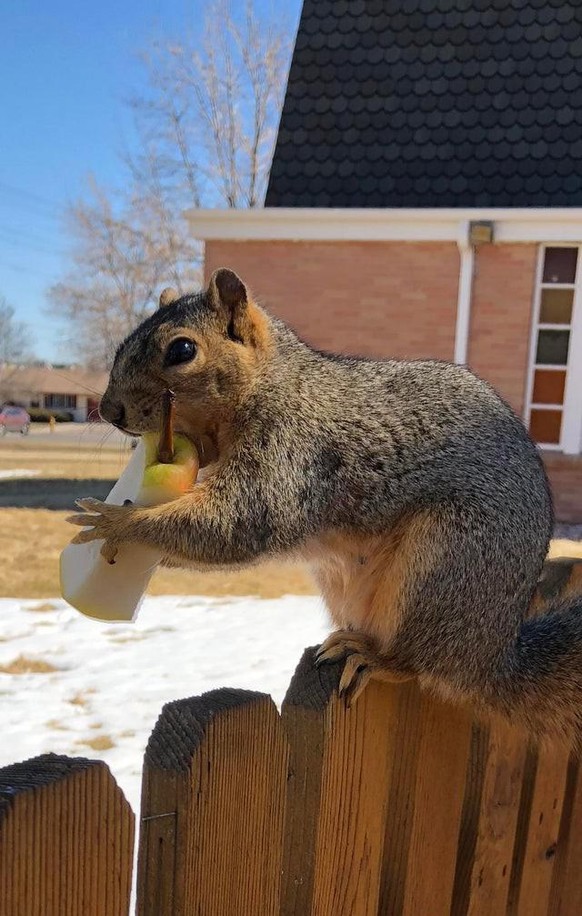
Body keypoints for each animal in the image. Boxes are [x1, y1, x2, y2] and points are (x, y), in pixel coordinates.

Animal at [70, 264, 582, 744]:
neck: (273, 385)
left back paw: (376, 656)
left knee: (419, 664)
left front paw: (119, 522)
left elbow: (235, 524)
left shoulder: (292, 452)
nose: (110, 411)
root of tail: (492, 657)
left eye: (181, 351)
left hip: (444, 567)